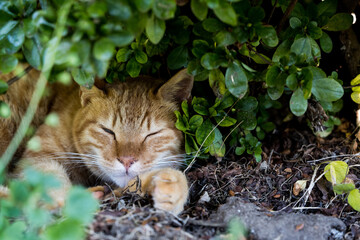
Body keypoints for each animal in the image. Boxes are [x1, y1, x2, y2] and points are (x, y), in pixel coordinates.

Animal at [0, 65, 194, 214]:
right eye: (108, 131)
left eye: (152, 134)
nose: (127, 161)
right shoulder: (36, 159)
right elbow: (50, 183)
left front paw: (170, 186)